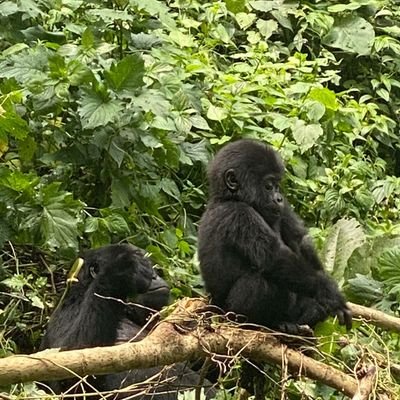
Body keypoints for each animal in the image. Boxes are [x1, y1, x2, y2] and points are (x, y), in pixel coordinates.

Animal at [39, 242, 216, 398]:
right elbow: (72, 376)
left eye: (153, 266)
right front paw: (119, 271)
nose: (155, 275)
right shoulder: (68, 311)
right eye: (145, 266)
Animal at [198, 139, 352, 332]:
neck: (228, 197)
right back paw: (263, 322)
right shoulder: (238, 214)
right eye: (268, 186)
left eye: (277, 186)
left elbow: (300, 240)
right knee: (262, 283)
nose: (278, 198)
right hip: (227, 314)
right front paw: (329, 293)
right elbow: (274, 257)